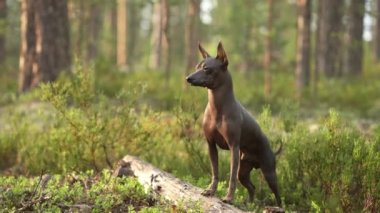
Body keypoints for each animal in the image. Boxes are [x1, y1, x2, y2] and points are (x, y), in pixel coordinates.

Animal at [186, 41, 280, 206]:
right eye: (197, 66)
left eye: (206, 69)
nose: (188, 78)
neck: (217, 107)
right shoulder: (211, 145)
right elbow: (215, 172)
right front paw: (211, 190)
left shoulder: (233, 148)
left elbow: (230, 177)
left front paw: (229, 198)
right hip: (244, 171)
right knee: (252, 187)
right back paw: (249, 204)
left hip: (269, 173)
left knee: (278, 195)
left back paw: (278, 207)